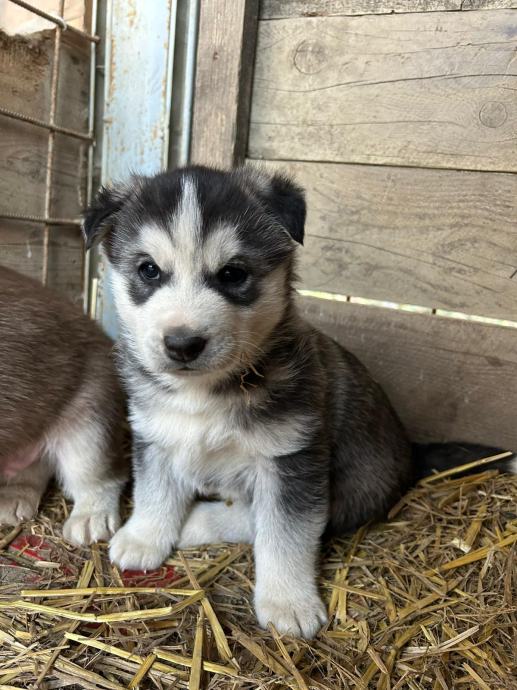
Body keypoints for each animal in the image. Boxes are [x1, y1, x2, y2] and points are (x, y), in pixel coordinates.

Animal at [83, 166, 516, 638]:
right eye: (148, 270)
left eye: (233, 274)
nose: (182, 343)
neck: (207, 392)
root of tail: (409, 450)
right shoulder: (155, 435)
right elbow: (155, 490)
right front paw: (143, 537)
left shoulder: (292, 457)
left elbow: (285, 533)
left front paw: (288, 602)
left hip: (354, 483)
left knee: (272, 517)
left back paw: (199, 521)